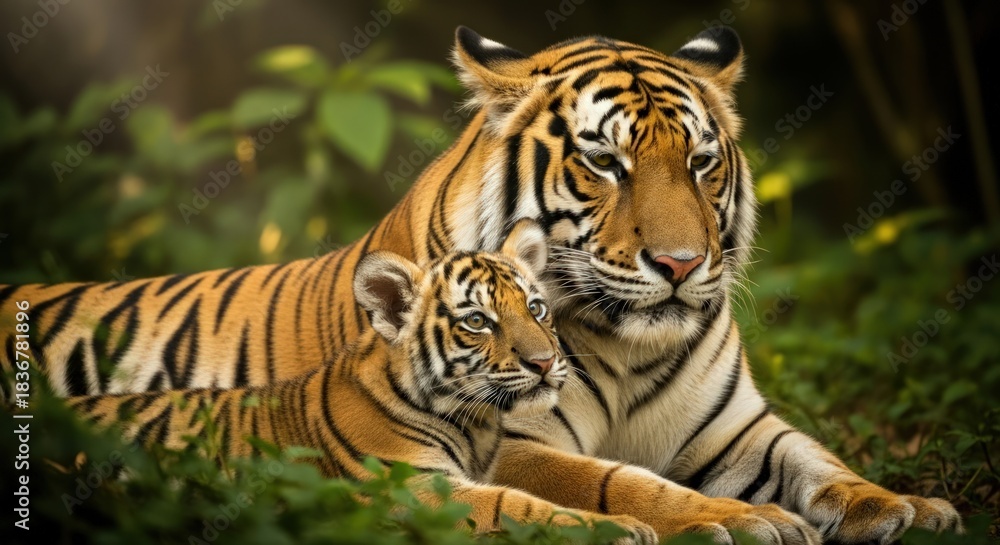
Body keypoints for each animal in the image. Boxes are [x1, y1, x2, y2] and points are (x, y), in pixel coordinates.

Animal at [66, 221, 658, 544]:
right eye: (477, 322)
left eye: (536, 308)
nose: (544, 362)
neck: (478, 425)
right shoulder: (416, 488)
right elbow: (517, 507)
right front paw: (625, 528)